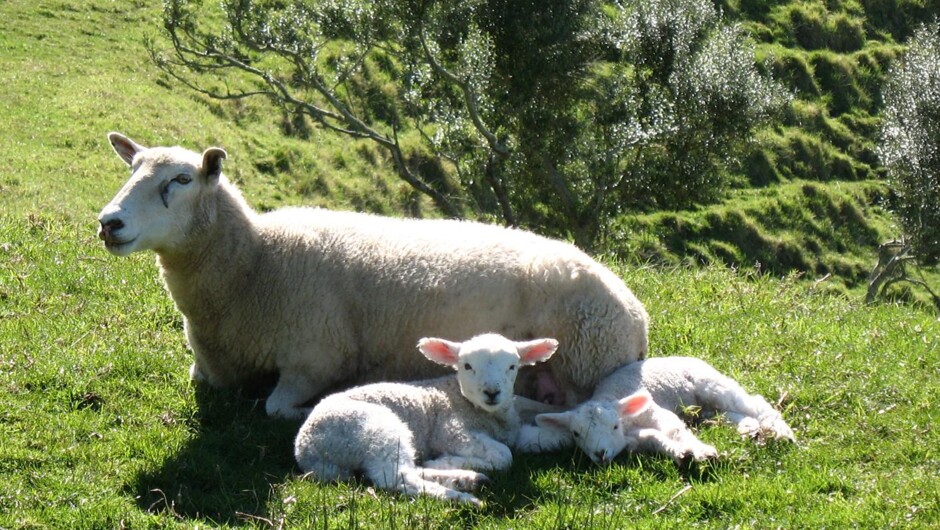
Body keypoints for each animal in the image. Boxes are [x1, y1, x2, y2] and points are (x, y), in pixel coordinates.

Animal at [99, 132, 648, 416]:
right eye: (131, 170)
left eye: (181, 179)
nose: (109, 222)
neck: (255, 264)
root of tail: (636, 310)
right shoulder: (211, 369)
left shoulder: (317, 355)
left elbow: (278, 408)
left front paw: (310, 408)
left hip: (586, 361)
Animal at [294, 332, 560, 502]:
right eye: (467, 366)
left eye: (512, 366)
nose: (492, 392)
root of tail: (306, 449)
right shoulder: (450, 431)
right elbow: (504, 456)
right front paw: (452, 460)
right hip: (373, 430)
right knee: (395, 476)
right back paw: (461, 495)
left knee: (409, 468)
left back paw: (464, 479)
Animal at [520, 354, 792, 462]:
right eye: (576, 434)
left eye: (614, 425)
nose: (600, 454)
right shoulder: (634, 440)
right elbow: (655, 438)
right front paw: (682, 454)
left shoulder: (656, 413)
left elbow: (673, 430)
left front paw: (702, 452)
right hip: (702, 407)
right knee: (728, 413)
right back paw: (749, 428)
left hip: (710, 384)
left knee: (753, 402)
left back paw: (780, 431)